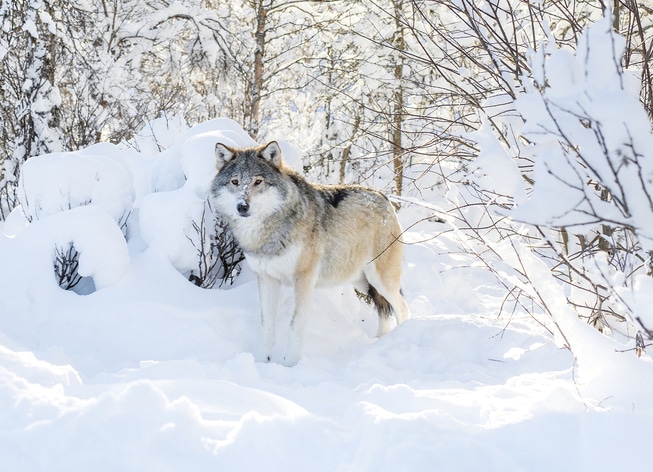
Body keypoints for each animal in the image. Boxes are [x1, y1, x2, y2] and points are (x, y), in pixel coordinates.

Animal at [209, 140, 408, 366]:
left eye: (258, 182)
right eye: (235, 182)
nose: (242, 206)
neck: (268, 233)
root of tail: (385, 198)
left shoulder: (303, 279)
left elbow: (294, 325)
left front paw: (289, 364)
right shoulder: (267, 279)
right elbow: (266, 326)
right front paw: (261, 362)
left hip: (380, 280)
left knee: (403, 308)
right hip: (363, 283)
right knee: (384, 313)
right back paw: (379, 341)